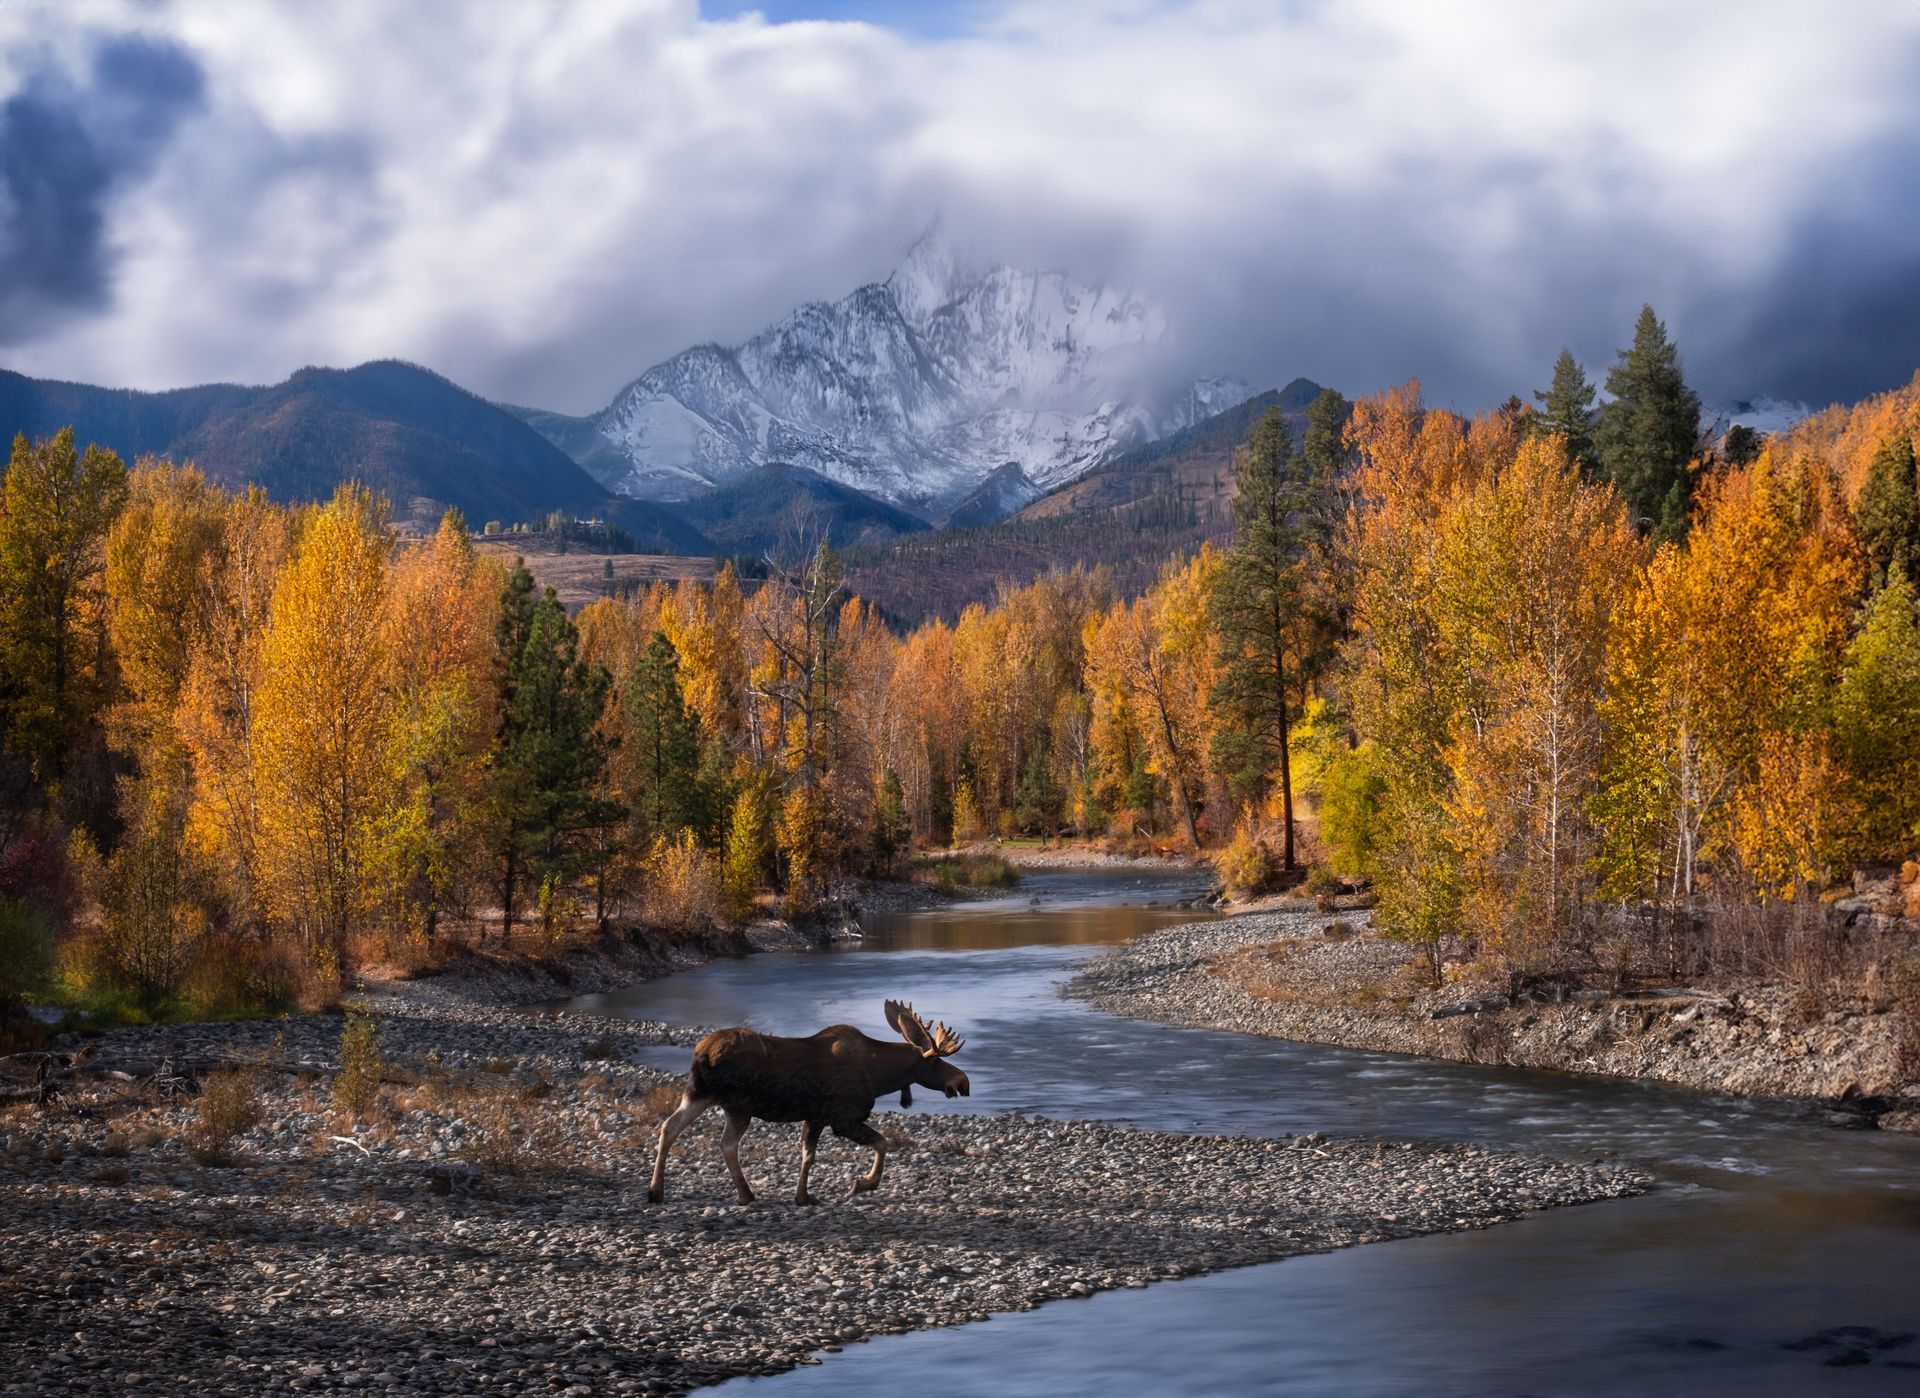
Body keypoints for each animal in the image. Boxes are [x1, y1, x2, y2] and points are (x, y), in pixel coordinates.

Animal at [648, 998, 975, 1205]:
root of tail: (702, 1053)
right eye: (936, 1062)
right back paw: (745, 1194)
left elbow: (808, 1156)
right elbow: (882, 1143)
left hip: (699, 1093)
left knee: (669, 1127)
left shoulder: (816, 1117)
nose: (963, 1082)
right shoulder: (843, 1118)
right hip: (738, 1105)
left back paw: (656, 1191)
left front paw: (802, 1196)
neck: (879, 1076)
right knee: (726, 1144)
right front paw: (863, 1184)